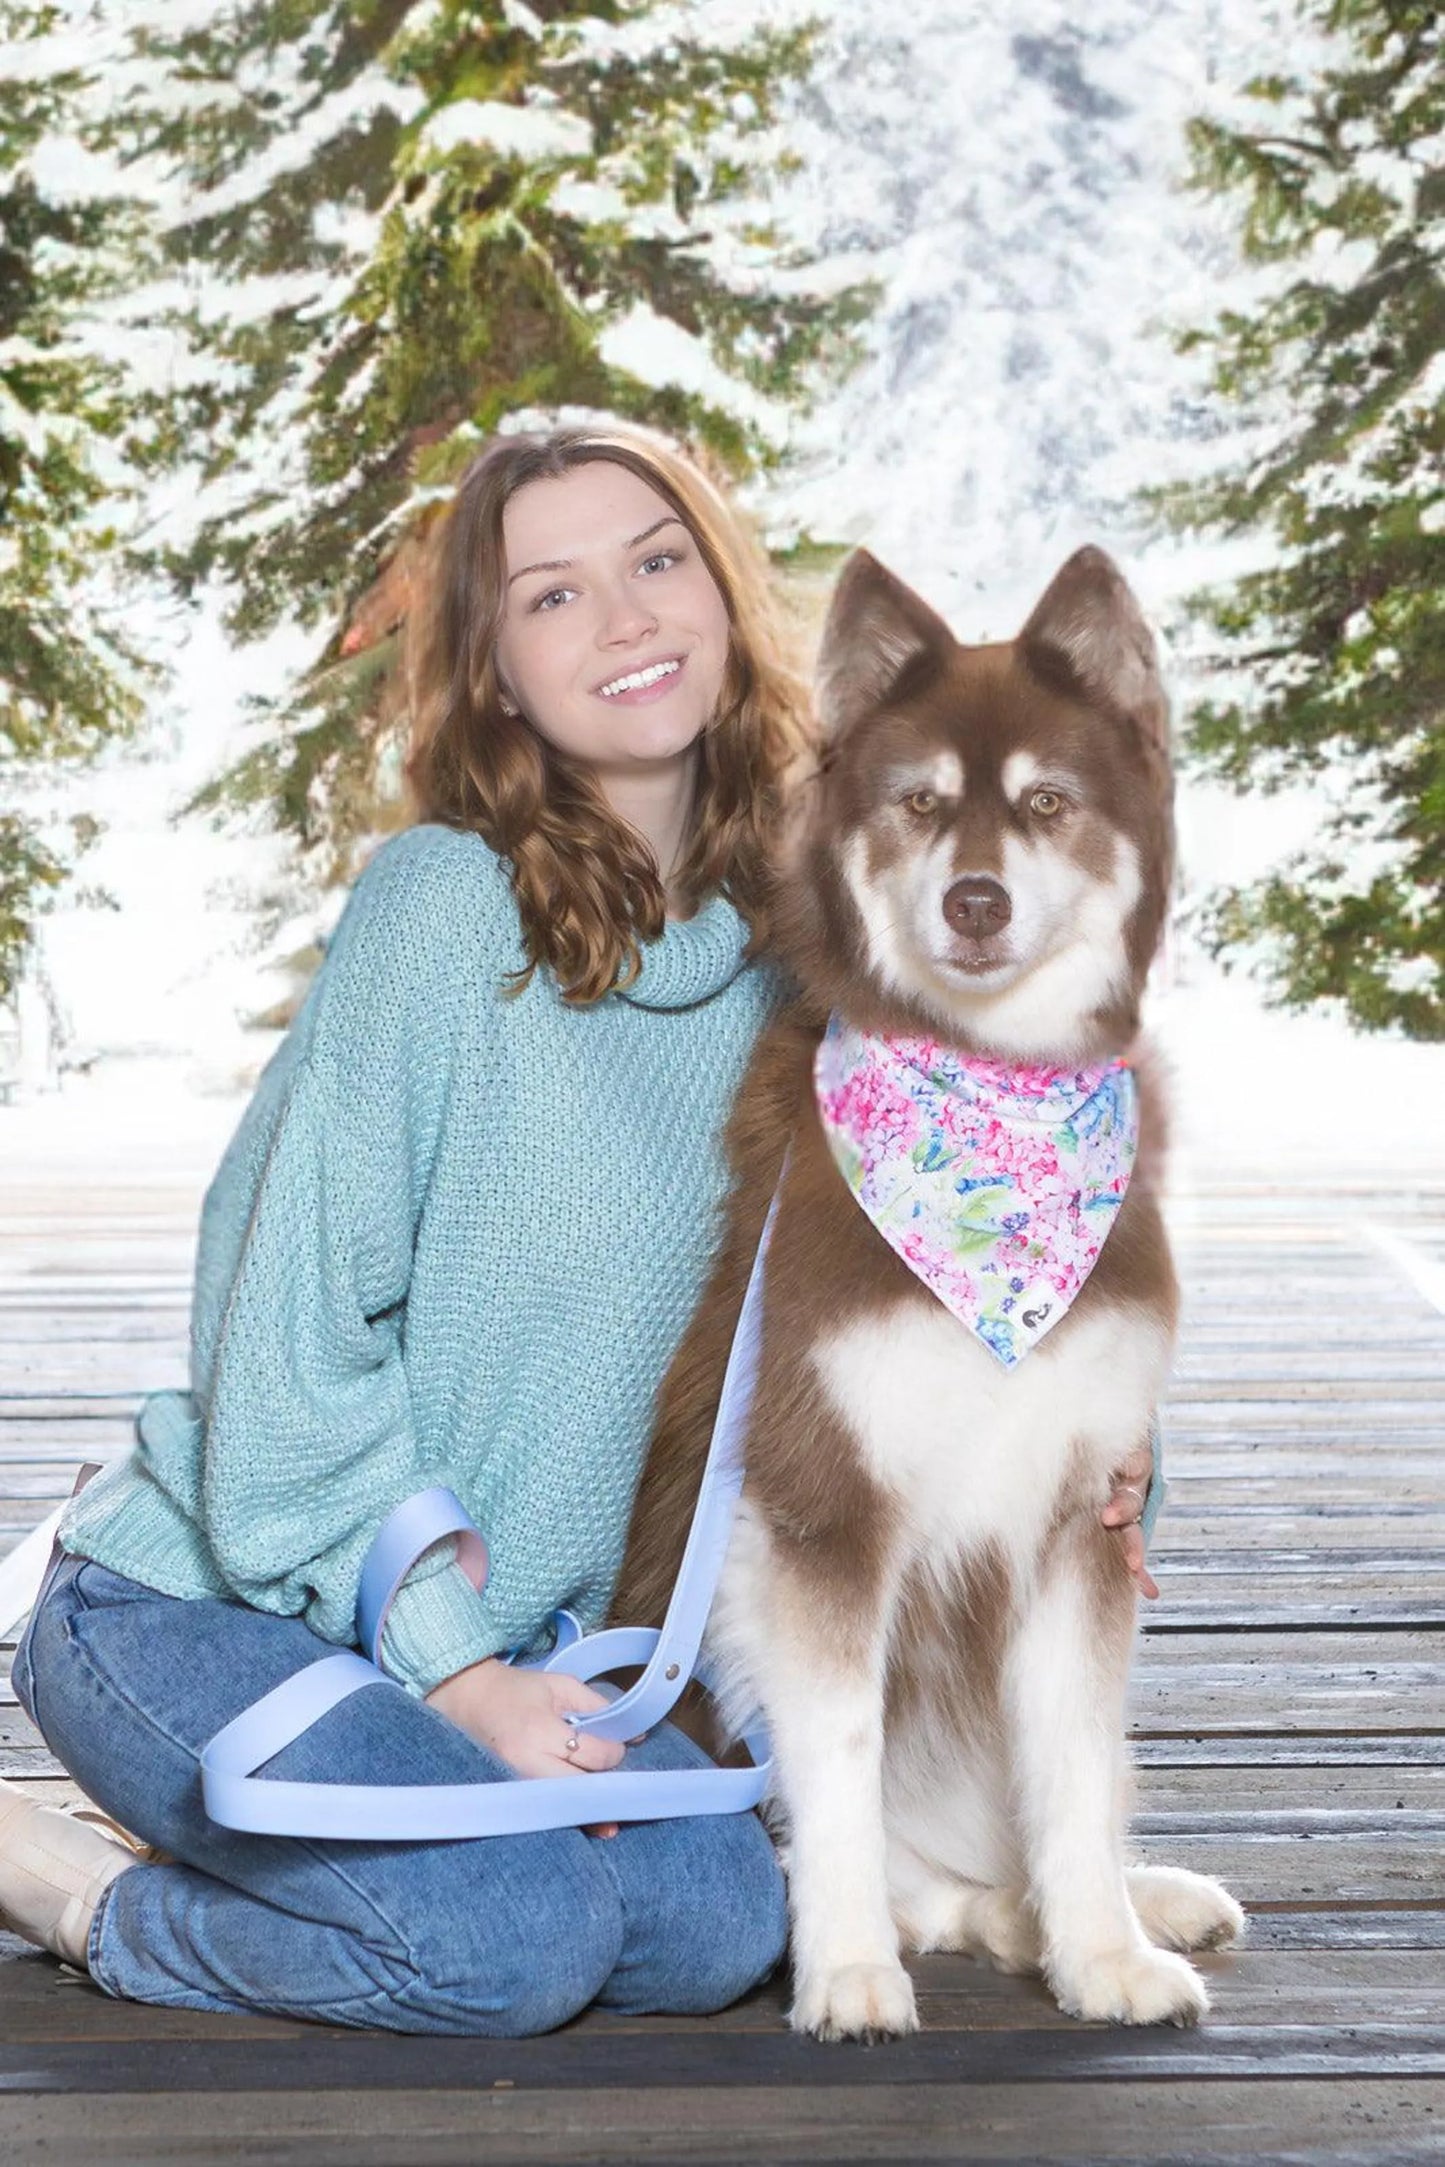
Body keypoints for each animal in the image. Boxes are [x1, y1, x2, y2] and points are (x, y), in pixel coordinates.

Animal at [610, 550, 1247, 2036]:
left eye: (1045, 803)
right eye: (917, 803)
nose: (974, 900)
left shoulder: (1081, 1512)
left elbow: (1068, 1759)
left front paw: (1101, 1952)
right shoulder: (819, 1513)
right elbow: (837, 1764)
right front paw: (846, 1970)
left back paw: (1125, 1903)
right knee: (908, 1875)